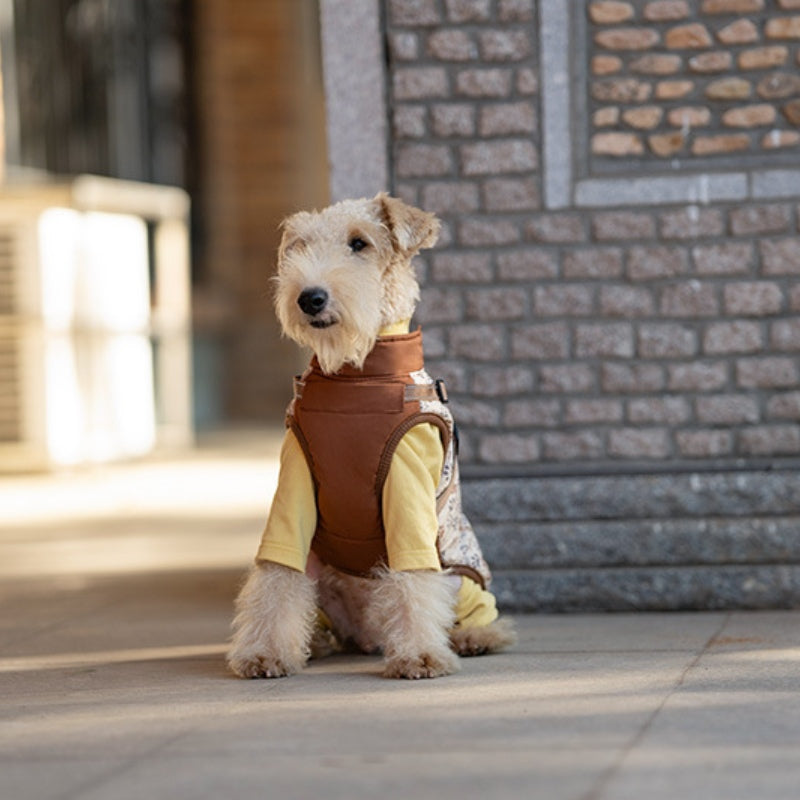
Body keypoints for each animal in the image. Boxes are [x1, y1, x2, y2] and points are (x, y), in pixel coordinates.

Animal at [227, 191, 512, 680]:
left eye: (359, 243)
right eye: (299, 246)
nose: (310, 298)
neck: (357, 378)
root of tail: (367, 635)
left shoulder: (407, 483)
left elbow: (413, 576)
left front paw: (419, 656)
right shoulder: (295, 481)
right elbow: (277, 572)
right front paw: (263, 654)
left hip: (461, 574)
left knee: (472, 605)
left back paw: (476, 637)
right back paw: (318, 643)